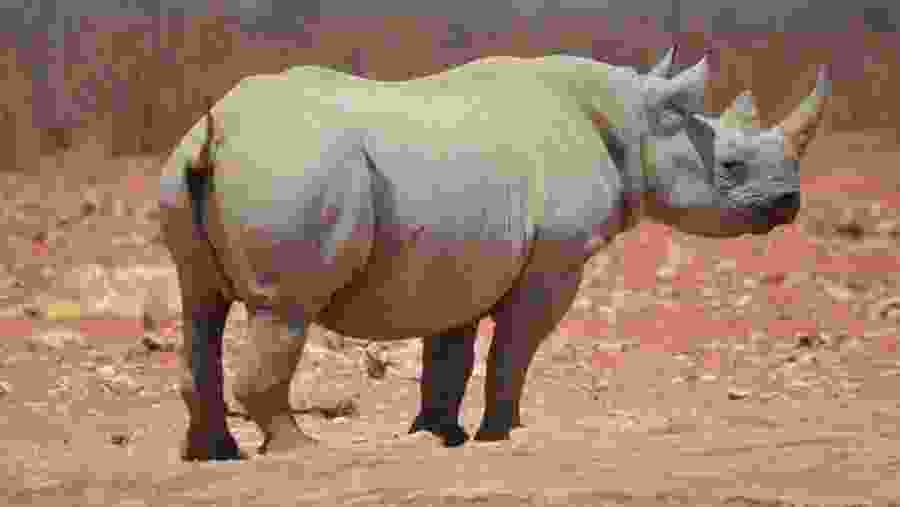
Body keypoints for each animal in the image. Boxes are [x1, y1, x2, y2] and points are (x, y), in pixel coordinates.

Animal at [158, 46, 830, 461]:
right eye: (732, 165)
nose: (789, 202)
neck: (632, 119)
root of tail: (216, 131)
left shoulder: (456, 254)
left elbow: (450, 354)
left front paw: (439, 434)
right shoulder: (556, 262)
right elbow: (514, 349)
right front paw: (499, 436)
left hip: (190, 166)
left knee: (200, 304)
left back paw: (215, 455)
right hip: (296, 166)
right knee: (283, 310)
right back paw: (300, 451)